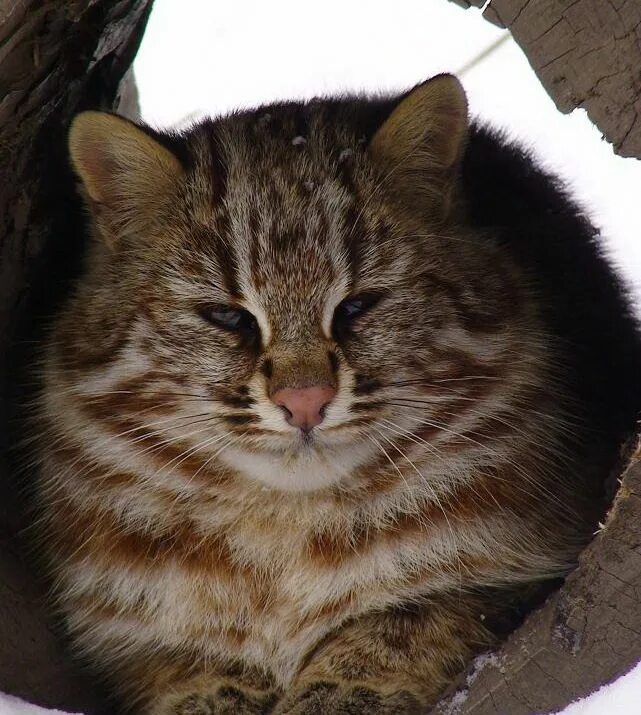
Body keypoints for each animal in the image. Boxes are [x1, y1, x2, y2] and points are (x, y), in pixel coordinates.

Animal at [32, 74, 640, 715]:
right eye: (228, 317)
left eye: (357, 306)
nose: (305, 401)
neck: (283, 533)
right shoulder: (135, 638)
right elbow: (192, 674)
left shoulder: (508, 576)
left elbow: (395, 630)